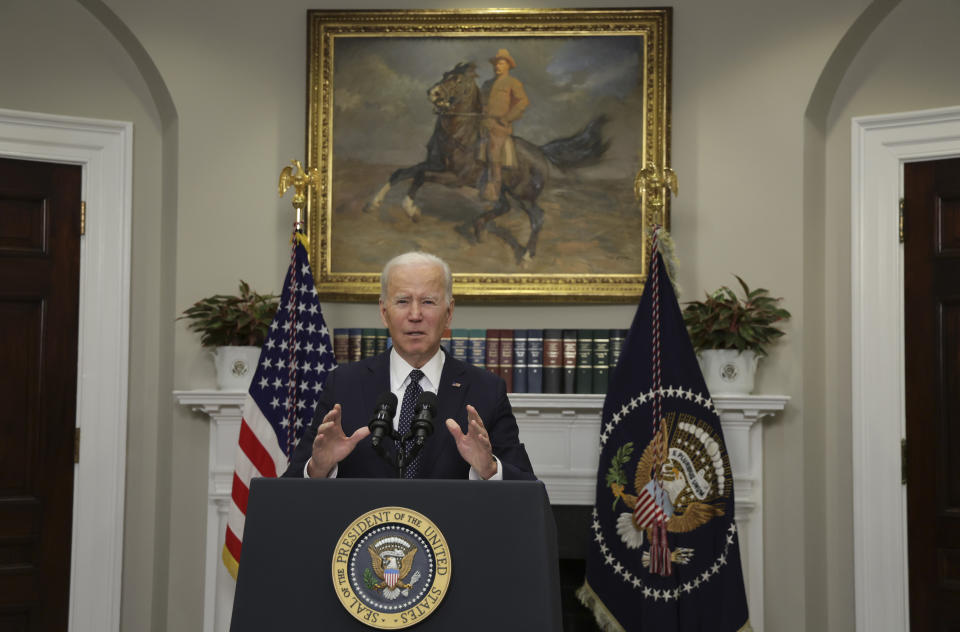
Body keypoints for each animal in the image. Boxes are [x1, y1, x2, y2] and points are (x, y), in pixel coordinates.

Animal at [368, 61, 608, 264]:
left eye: (458, 80)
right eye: (445, 74)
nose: (432, 92)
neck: (461, 135)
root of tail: (540, 151)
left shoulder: (455, 178)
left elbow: (420, 176)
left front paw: (411, 210)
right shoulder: (435, 164)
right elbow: (402, 173)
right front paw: (374, 203)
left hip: (524, 195)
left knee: (537, 217)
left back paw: (527, 255)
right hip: (501, 188)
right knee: (504, 206)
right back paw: (479, 228)